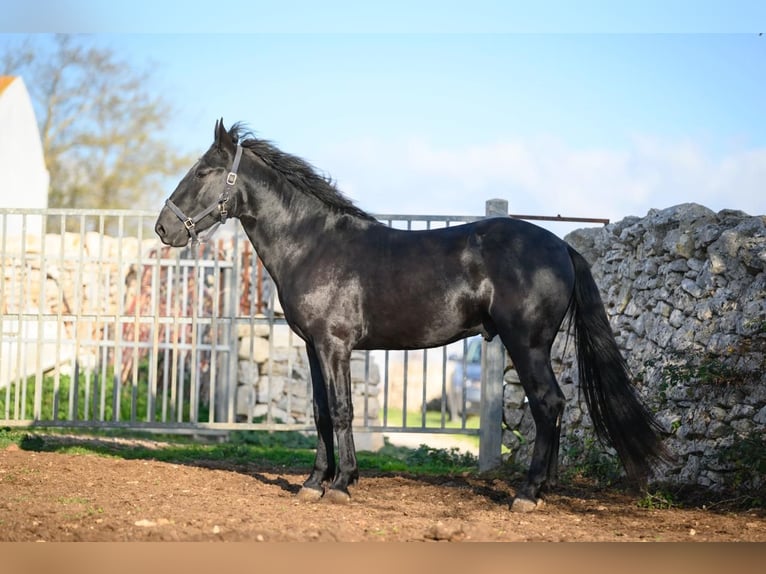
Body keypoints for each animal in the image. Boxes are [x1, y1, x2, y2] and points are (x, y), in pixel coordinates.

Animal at [154, 118, 664, 512]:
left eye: (204, 171)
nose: (163, 228)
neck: (313, 244)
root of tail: (560, 247)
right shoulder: (313, 347)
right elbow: (320, 412)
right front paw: (315, 483)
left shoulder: (334, 346)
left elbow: (341, 410)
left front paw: (341, 485)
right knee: (551, 408)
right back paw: (543, 490)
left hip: (527, 344)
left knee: (549, 404)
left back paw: (527, 493)